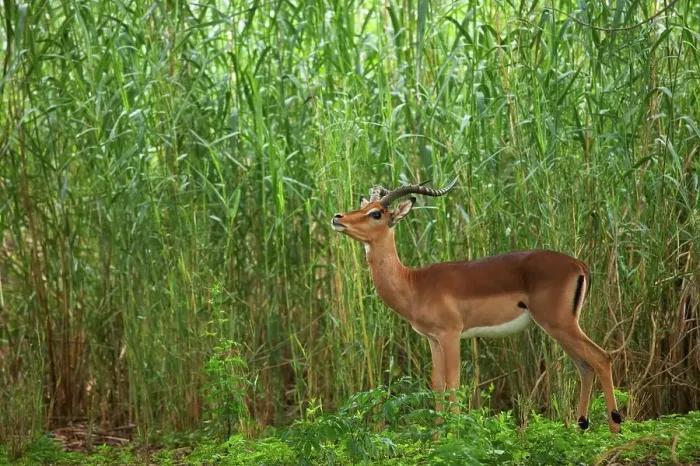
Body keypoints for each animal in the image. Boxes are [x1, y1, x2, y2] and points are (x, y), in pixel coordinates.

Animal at [331, 179, 622, 433]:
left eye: (376, 213)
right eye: (364, 205)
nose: (337, 218)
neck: (413, 283)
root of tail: (579, 265)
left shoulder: (450, 335)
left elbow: (453, 385)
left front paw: (454, 438)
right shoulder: (432, 339)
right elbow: (437, 387)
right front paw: (437, 440)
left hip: (559, 324)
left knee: (602, 358)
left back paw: (615, 428)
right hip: (559, 328)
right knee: (585, 366)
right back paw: (581, 427)